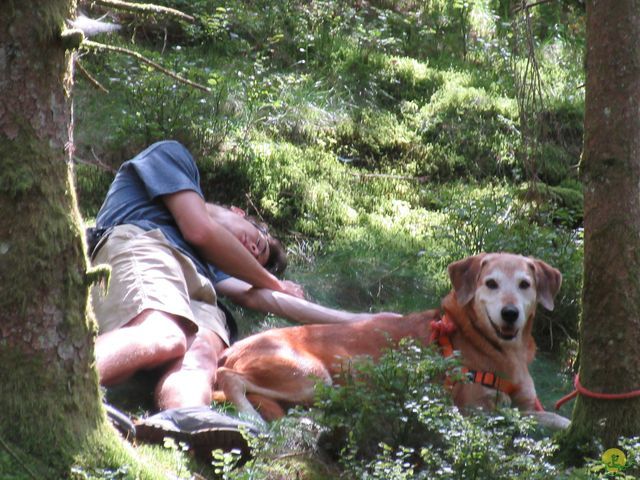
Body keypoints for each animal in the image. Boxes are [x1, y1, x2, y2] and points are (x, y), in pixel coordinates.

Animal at [214, 253, 568, 430]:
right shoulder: (474, 411)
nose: (510, 314)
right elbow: (533, 419)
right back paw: (250, 416)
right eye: (491, 283)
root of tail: (232, 349)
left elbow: (554, 416)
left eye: (525, 284)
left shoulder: (526, 402)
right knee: (230, 380)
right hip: (309, 377)